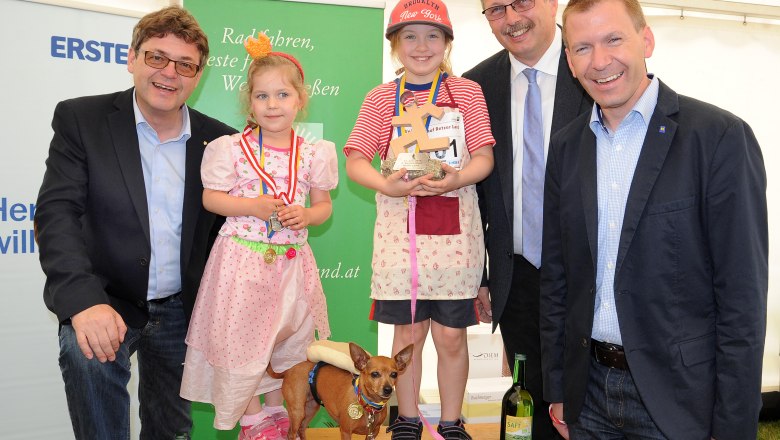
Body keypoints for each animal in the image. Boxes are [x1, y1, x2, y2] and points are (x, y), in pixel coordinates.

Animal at [266, 344, 414, 440]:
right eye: (375, 374)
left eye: (394, 374)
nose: (388, 389)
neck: (367, 405)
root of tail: (288, 370)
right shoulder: (345, 432)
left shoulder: (373, 433)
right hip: (297, 411)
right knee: (291, 433)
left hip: (309, 409)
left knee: (301, 429)